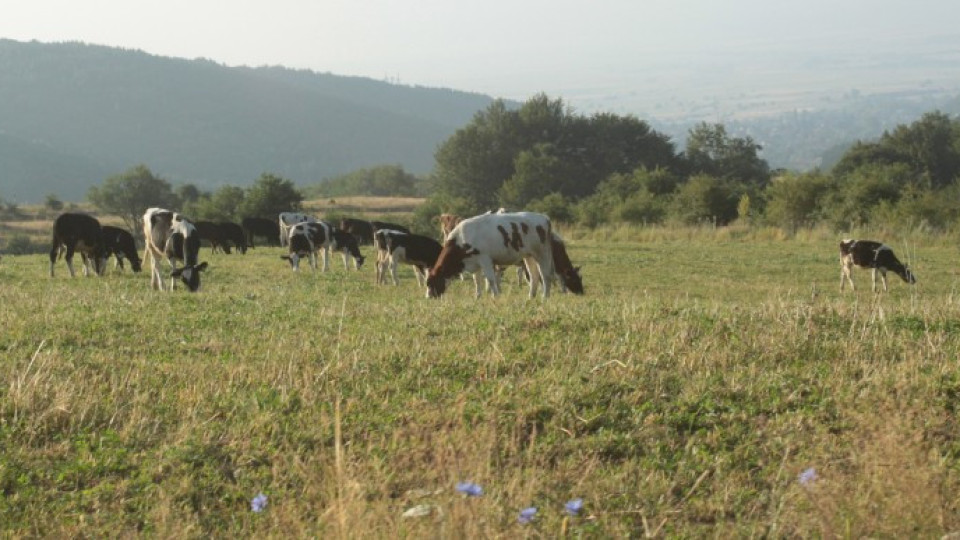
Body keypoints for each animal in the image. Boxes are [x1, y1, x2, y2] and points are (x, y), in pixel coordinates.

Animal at [428, 210, 556, 298]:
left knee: (545, 275)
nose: (428, 297)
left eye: (430, 282)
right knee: (534, 276)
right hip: (529, 256)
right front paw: (477, 297)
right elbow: (476, 280)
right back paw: (530, 297)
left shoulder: (485, 259)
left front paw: (495, 296)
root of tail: (544, 218)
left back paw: (545, 297)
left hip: (542, 253)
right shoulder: (475, 261)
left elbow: (490, 279)